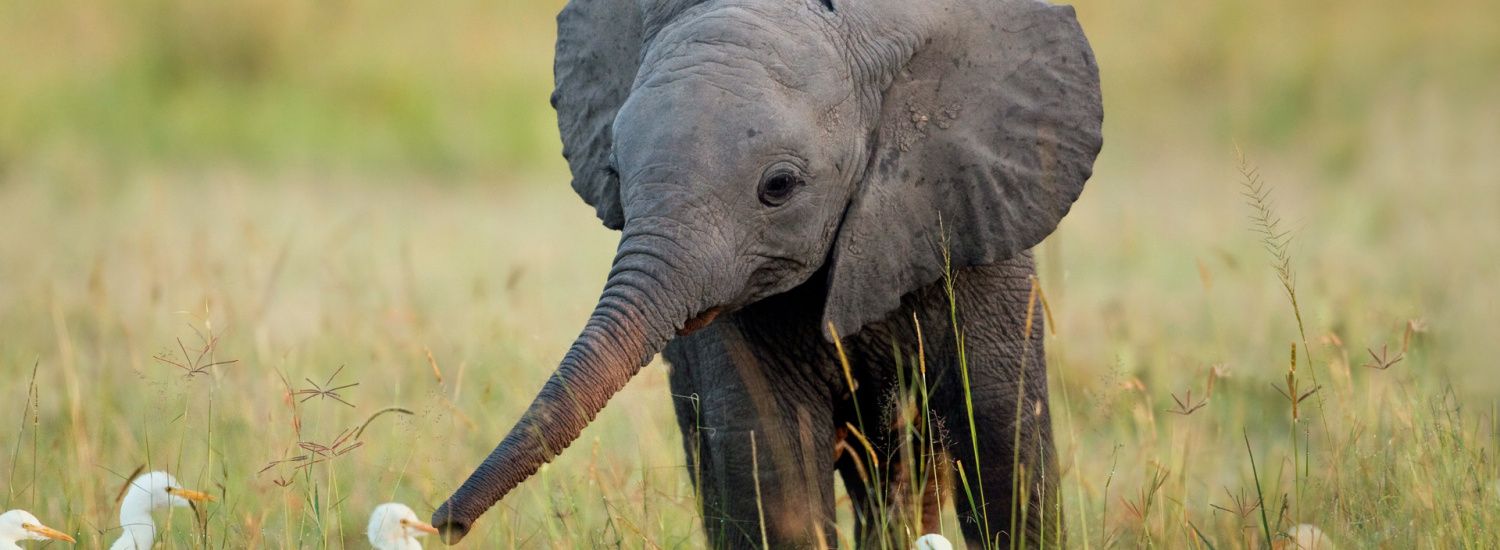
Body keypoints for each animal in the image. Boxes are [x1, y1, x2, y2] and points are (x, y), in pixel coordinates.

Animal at [435, 0, 1104, 548]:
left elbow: (1004, 452)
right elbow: (773, 470)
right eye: (615, 175)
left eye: (778, 186)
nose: (444, 523)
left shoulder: (974, 219)